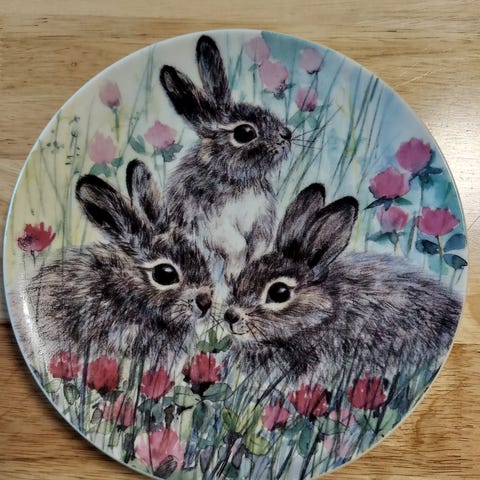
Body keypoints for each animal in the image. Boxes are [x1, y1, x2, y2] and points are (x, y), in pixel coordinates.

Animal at [159, 35, 292, 282]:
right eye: (245, 133)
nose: (287, 135)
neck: (239, 180)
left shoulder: (262, 221)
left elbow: (259, 244)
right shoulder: (211, 222)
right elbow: (236, 244)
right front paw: (234, 272)